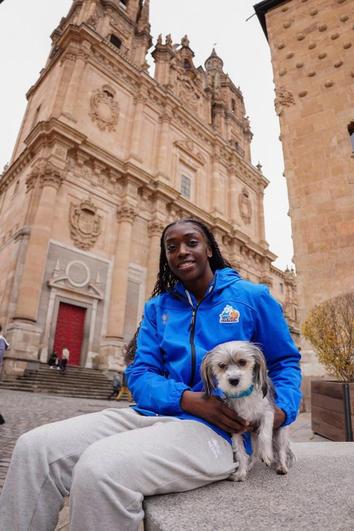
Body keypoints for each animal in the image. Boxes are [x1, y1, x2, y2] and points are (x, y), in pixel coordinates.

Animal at [201, 340, 294, 482]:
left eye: (242, 362)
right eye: (221, 365)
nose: (234, 380)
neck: (243, 395)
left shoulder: (268, 413)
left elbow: (264, 435)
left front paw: (267, 454)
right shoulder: (235, 426)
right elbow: (240, 452)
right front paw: (241, 473)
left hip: (281, 431)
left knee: (281, 450)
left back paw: (281, 466)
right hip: (252, 435)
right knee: (254, 453)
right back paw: (250, 465)